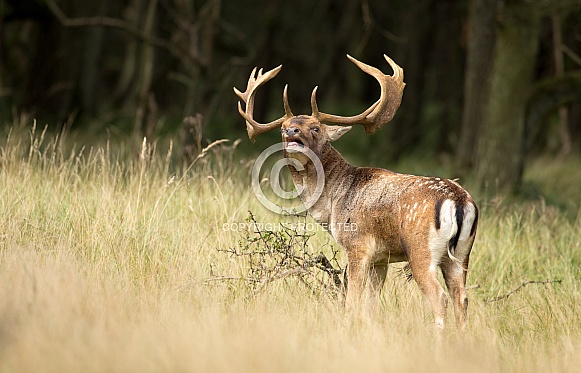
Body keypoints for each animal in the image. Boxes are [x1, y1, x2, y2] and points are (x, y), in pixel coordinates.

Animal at [233, 52, 478, 332]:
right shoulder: (381, 258)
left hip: (420, 249)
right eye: (283, 127)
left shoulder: (358, 246)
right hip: (461, 255)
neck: (331, 205)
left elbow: (351, 302)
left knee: (440, 298)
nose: (291, 131)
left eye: (316, 128)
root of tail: (459, 200)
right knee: (462, 299)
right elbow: (371, 306)